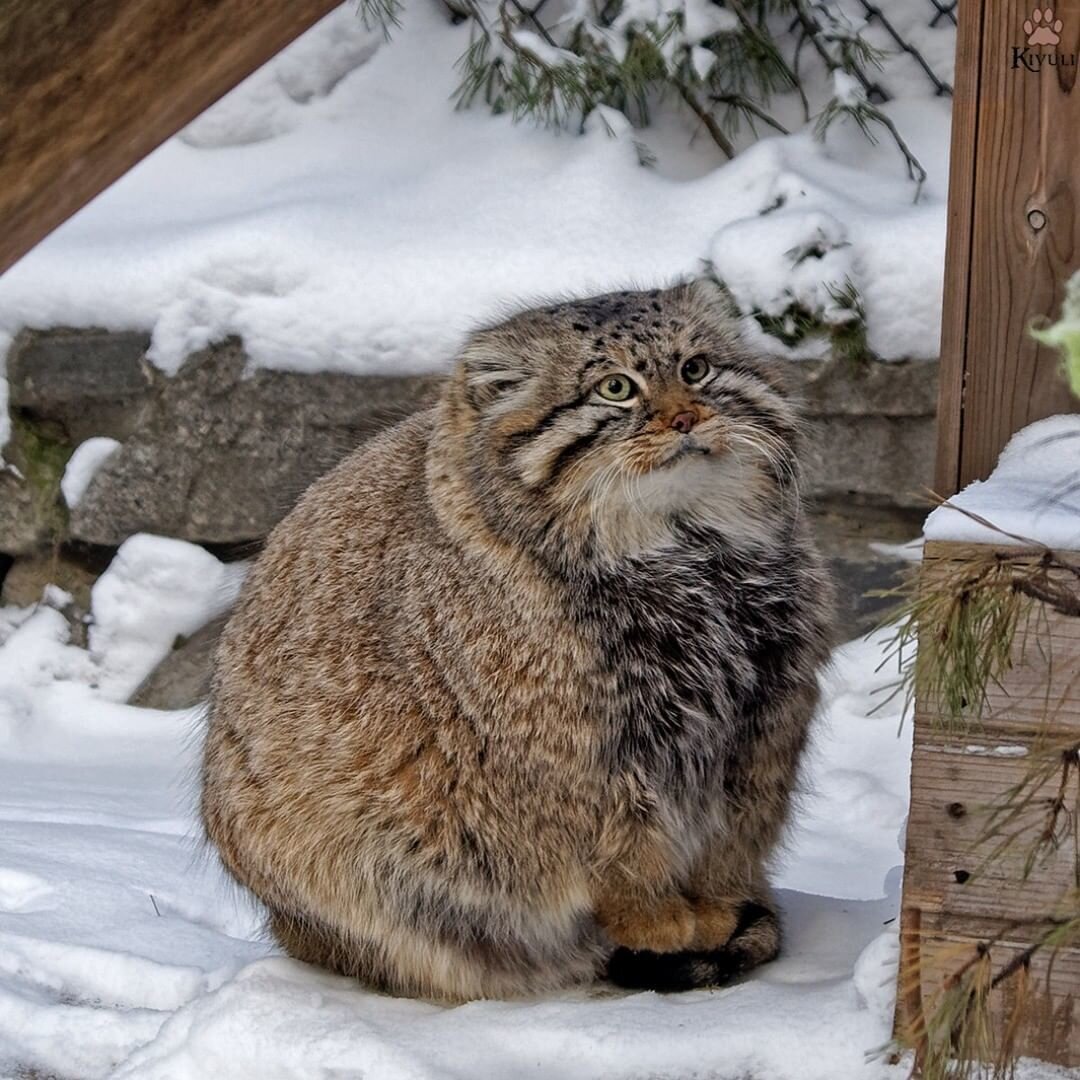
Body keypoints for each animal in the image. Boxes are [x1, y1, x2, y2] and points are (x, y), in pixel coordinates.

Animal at [203, 280, 833, 1002]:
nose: (685, 419)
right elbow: (622, 855)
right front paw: (656, 918)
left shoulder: (763, 727)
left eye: (696, 369)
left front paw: (715, 906)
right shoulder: (577, 753)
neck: (688, 553)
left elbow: (727, 838)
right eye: (616, 388)